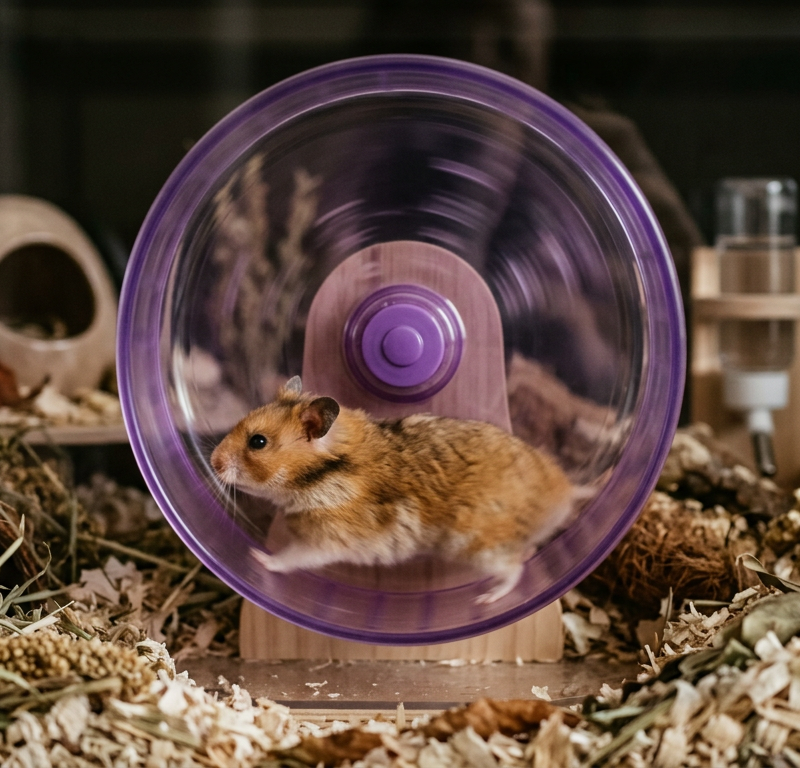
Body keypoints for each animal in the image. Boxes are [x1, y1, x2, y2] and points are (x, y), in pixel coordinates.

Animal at [210, 376, 589, 603]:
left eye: (258, 442)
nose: (212, 462)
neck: (322, 473)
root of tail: (565, 493)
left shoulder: (328, 540)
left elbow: (290, 557)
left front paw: (257, 557)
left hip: (483, 548)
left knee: (516, 569)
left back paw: (486, 599)